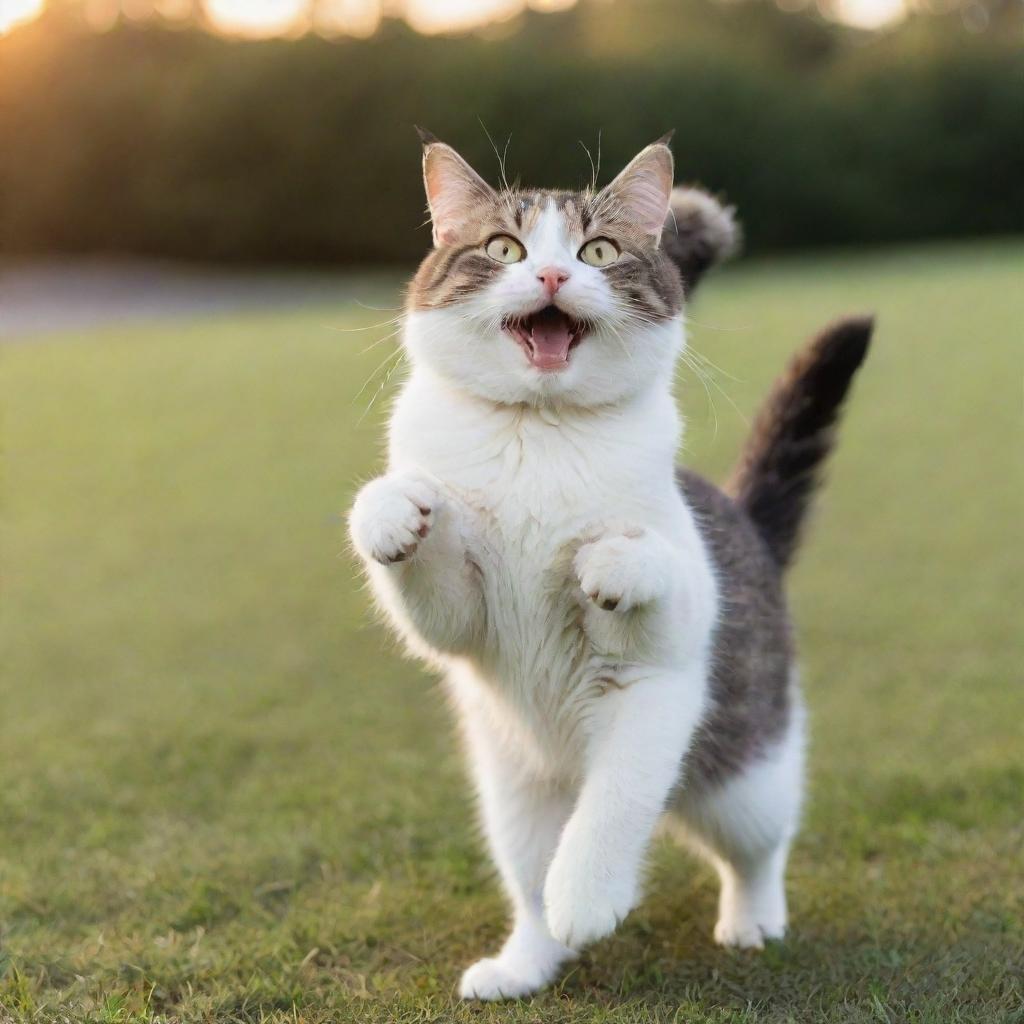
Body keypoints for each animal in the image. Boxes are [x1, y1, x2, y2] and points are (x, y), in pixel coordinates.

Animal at [350, 128, 872, 999]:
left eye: (597, 250)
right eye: (504, 247)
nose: (554, 275)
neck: (539, 435)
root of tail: (746, 518)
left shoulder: (659, 672)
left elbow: (615, 805)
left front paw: (589, 899)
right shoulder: (463, 618)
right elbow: (435, 593)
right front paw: (392, 513)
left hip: (745, 776)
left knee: (758, 847)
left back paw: (750, 920)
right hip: (514, 797)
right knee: (528, 883)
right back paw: (525, 963)